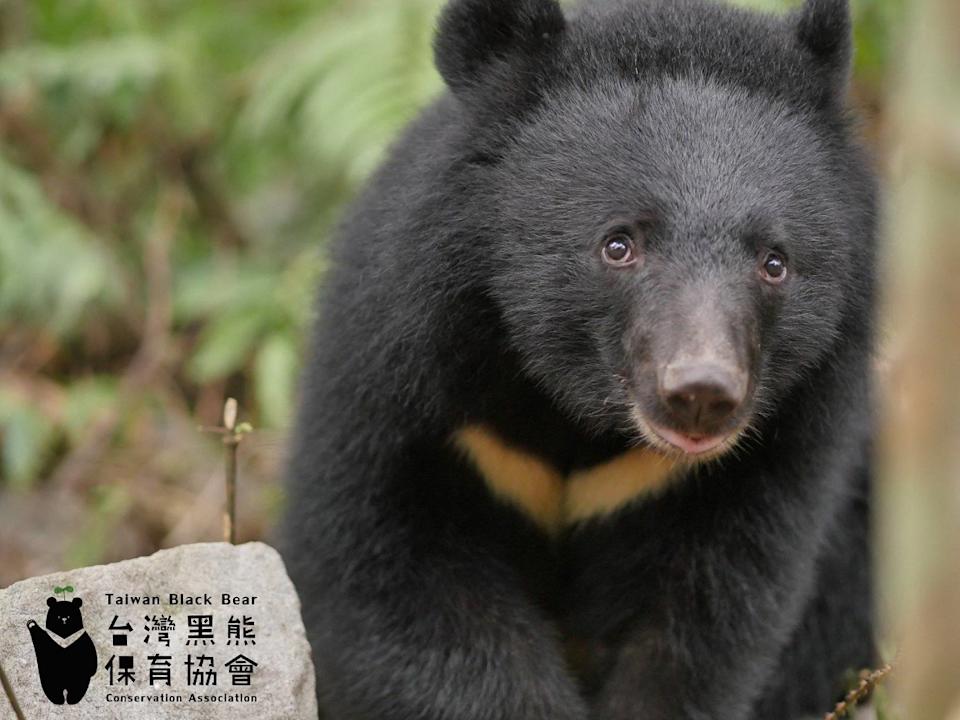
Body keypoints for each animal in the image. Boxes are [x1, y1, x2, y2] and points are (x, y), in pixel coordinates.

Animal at [280, 0, 878, 718]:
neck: (574, 411)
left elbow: (703, 622)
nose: (701, 393)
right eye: (618, 245)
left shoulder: (772, 451)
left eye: (775, 262)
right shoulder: (402, 385)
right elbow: (395, 582)